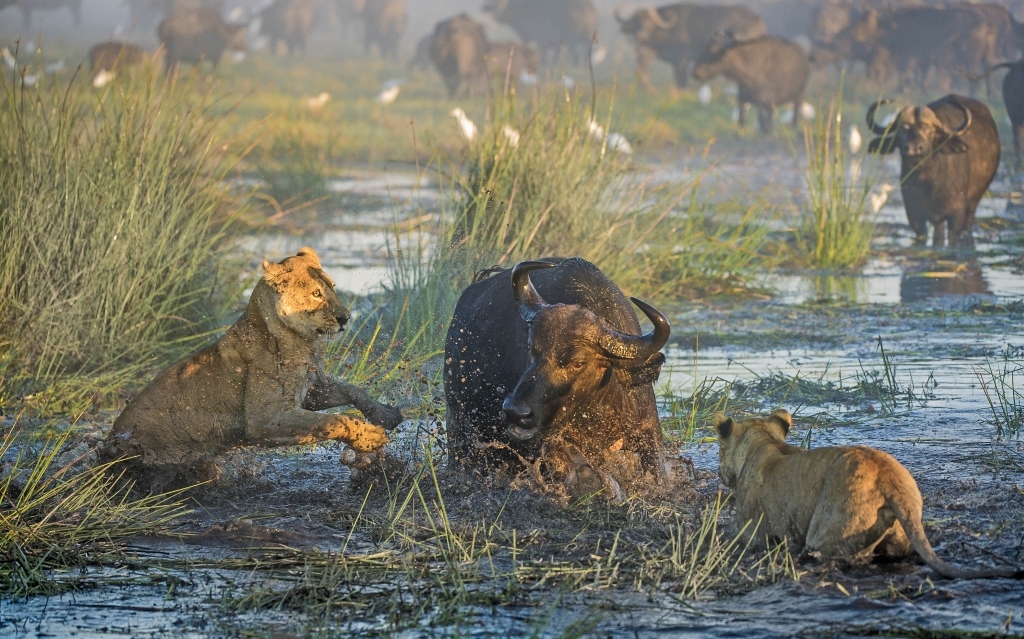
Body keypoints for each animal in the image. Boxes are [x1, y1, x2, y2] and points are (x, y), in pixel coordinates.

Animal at [610, 3, 765, 91]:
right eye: (635, 22)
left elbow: (680, 78)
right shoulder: (649, 52)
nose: (639, 36)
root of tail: (759, 21)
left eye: (649, 23)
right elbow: (642, 71)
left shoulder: (682, 59)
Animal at [864, 93, 999, 245]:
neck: (929, 183)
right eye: (902, 129)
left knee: (967, 226)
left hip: (972, 205)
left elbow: (953, 237)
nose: (913, 148)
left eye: (928, 129)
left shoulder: (956, 214)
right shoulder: (914, 214)